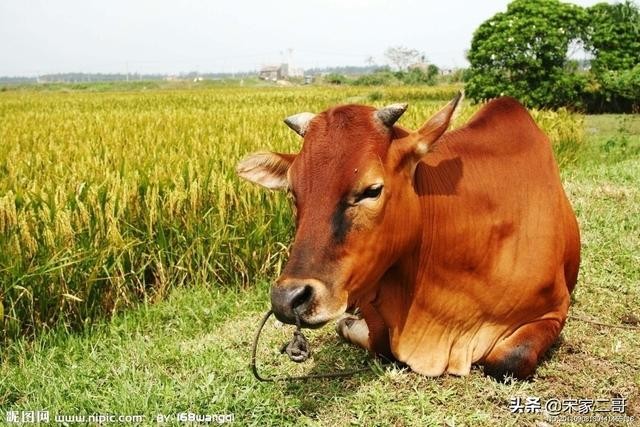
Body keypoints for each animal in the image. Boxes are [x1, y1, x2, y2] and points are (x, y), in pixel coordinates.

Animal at [236, 94, 580, 382]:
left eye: (372, 190)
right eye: (293, 193)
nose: (287, 299)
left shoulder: (555, 308)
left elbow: (510, 359)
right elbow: (379, 342)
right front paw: (350, 325)